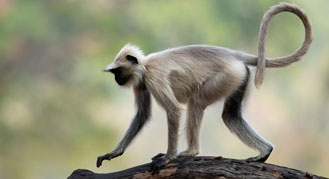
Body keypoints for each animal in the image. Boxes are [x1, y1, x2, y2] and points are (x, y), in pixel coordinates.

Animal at [96, 2, 312, 173]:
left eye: (117, 72)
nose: (117, 80)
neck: (146, 65)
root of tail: (234, 54)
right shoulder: (142, 82)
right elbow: (142, 114)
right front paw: (114, 152)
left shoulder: (153, 76)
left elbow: (174, 110)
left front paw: (168, 158)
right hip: (240, 77)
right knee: (230, 116)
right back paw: (264, 152)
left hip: (226, 76)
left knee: (196, 102)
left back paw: (191, 152)